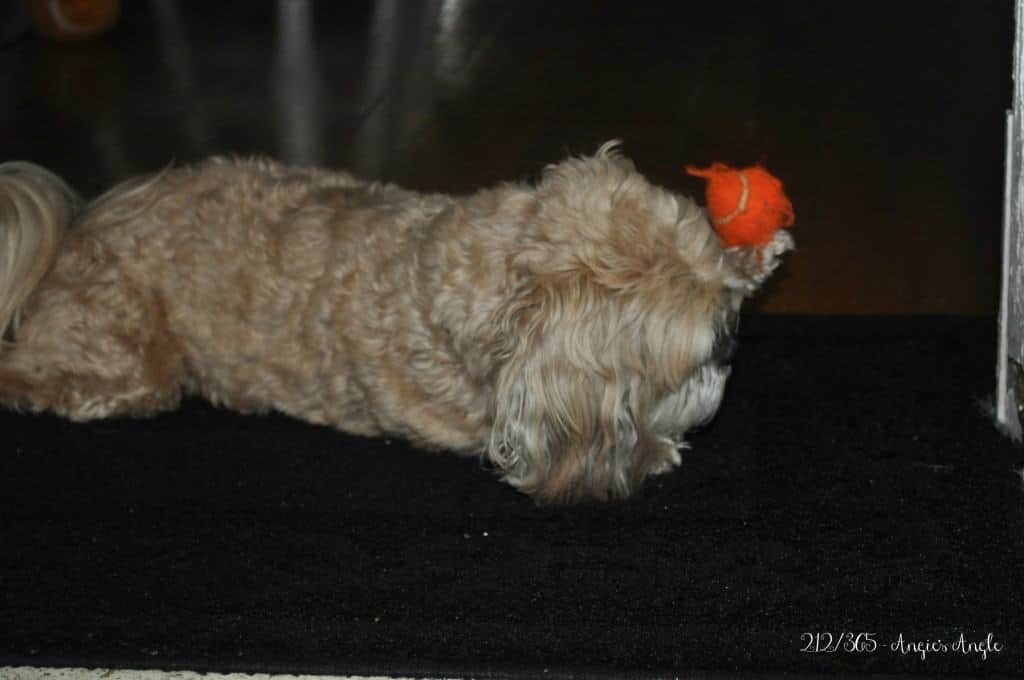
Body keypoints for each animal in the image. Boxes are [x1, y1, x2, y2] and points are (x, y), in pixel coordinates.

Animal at [0, 143, 790, 501]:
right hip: (128, 364)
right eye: (699, 347)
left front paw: (758, 252)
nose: (731, 339)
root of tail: (77, 227)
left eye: (724, 308)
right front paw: (655, 447)